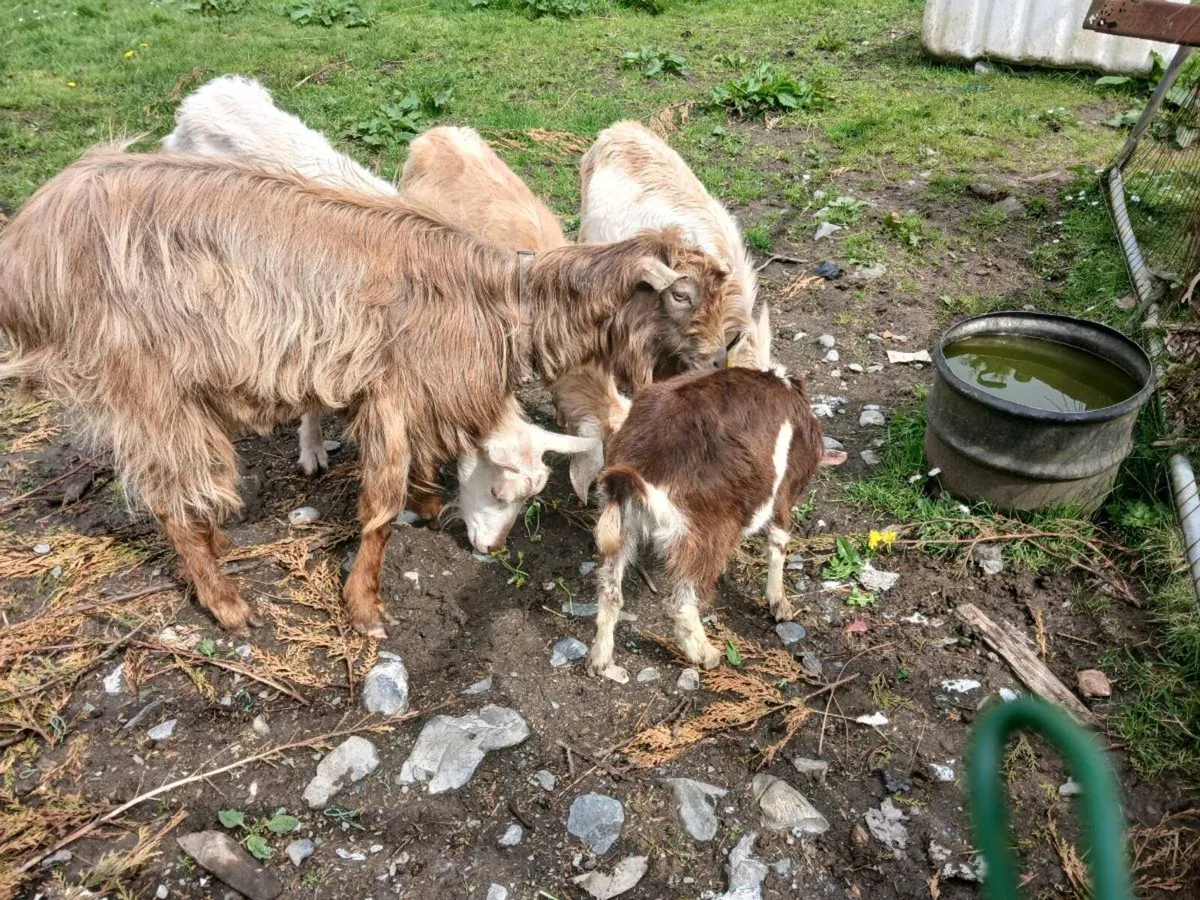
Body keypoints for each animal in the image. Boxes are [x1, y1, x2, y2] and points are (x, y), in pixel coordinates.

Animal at [0, 147, 717, 638]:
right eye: (681, 295)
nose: (711, 359)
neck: (496, 298)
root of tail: (29, 243)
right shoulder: (391, 389)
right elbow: (380, 503)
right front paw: (365, 605)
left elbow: (422, 463)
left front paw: (429, 505)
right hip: (141, 379)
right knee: (169, 494)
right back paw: (226, 602)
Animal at [583, 366, 841, 674]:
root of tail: (635, 473)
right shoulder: (782, 492)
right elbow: (778, 541)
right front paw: (780, 605)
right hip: (706, 532)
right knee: (682, 604)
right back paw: (707, 655)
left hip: (620, 525)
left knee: (609, 590)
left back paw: (599, 659)